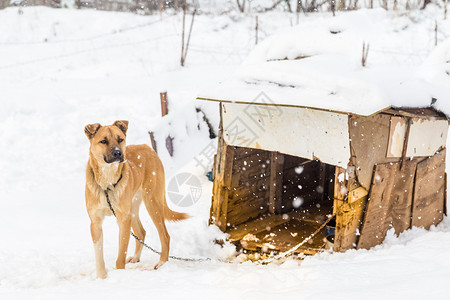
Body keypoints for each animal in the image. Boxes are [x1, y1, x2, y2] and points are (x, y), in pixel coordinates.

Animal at [84, 120, 188, 278]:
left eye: (120, 139)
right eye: (103, 141)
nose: (118, 153)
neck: (107, 183)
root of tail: (148, 148)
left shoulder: (123, 220)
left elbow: (120, 254)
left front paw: (119, 274)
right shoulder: (95, 223)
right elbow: (99, 255)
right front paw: (102, 278)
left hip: (152, 203)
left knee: (165, 235)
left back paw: (162, 263)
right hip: (132, 210)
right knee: (141, 232)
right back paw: (136, 257)